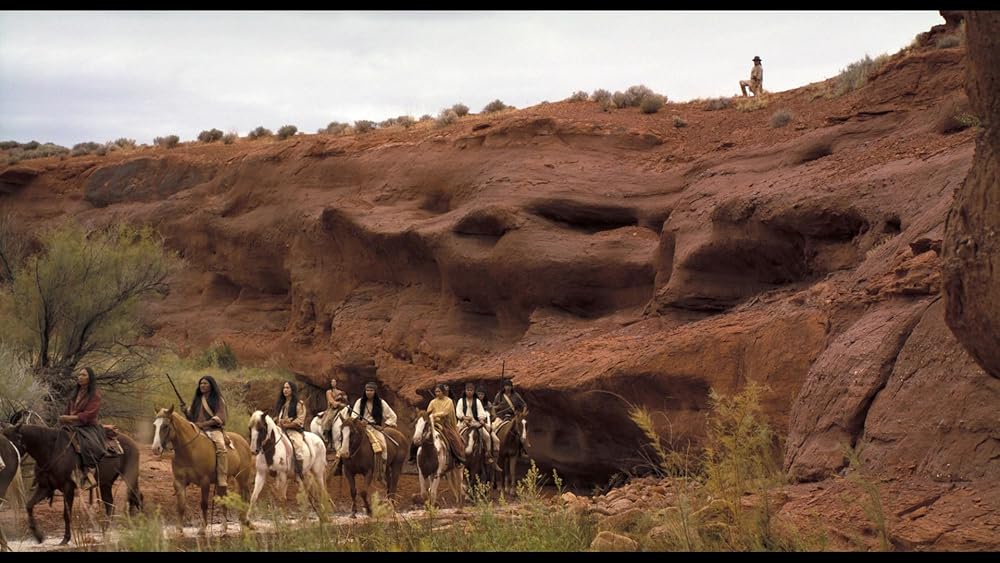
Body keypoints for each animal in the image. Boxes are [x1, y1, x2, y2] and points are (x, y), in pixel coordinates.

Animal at [1, 424, 144, 548]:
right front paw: (38, 536)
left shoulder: (68, 487)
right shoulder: (45, 488)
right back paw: (106, 533)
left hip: (129, 477)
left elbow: (66, 514)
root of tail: (132, 443)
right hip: (105, 484)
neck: (51, 450)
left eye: (10, 440)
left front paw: (65, 539)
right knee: (111, 504)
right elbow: (29, 506)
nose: (6, 462)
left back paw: (142, 524)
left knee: (137, 497)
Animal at [152, 408, 256, 536]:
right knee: (225, 499)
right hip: (224, 481)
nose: (155, 448)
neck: (190, 450)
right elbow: (181, 505)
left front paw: (202, 528)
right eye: (155, 425)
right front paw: (179, 529)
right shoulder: (179, 482)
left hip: (242, 479)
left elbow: (204, 504)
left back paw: (246, 522)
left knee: (246, 497)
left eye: (166, 426)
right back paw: (225, 527)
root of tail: (244, 441)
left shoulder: (204, 482)